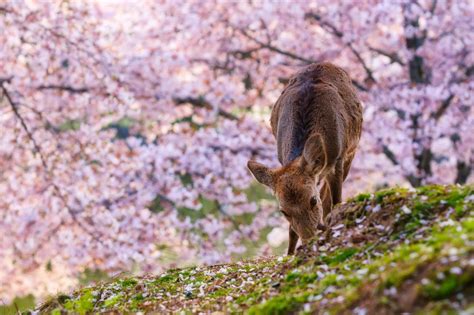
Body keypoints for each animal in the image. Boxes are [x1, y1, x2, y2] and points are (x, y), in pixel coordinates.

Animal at [248, 63, 362, 256]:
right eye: (283, 211)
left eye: (312, 200)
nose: (309, 240)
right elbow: (291, 230)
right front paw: (290, 254)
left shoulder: (338, 159)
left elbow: (336, 200)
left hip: (351, 151)